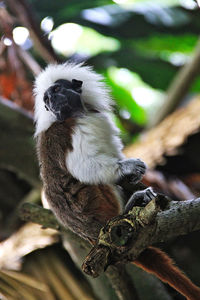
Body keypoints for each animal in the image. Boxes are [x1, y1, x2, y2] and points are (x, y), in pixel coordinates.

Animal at [33, 62, 200, 298]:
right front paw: (130, 168)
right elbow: (84, 167)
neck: (76, 113)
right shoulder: (72, 130)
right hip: (93, 205)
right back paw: (129, 206)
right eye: (46, 100)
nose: (51, 102)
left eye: (55, 91)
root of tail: (93, 236)